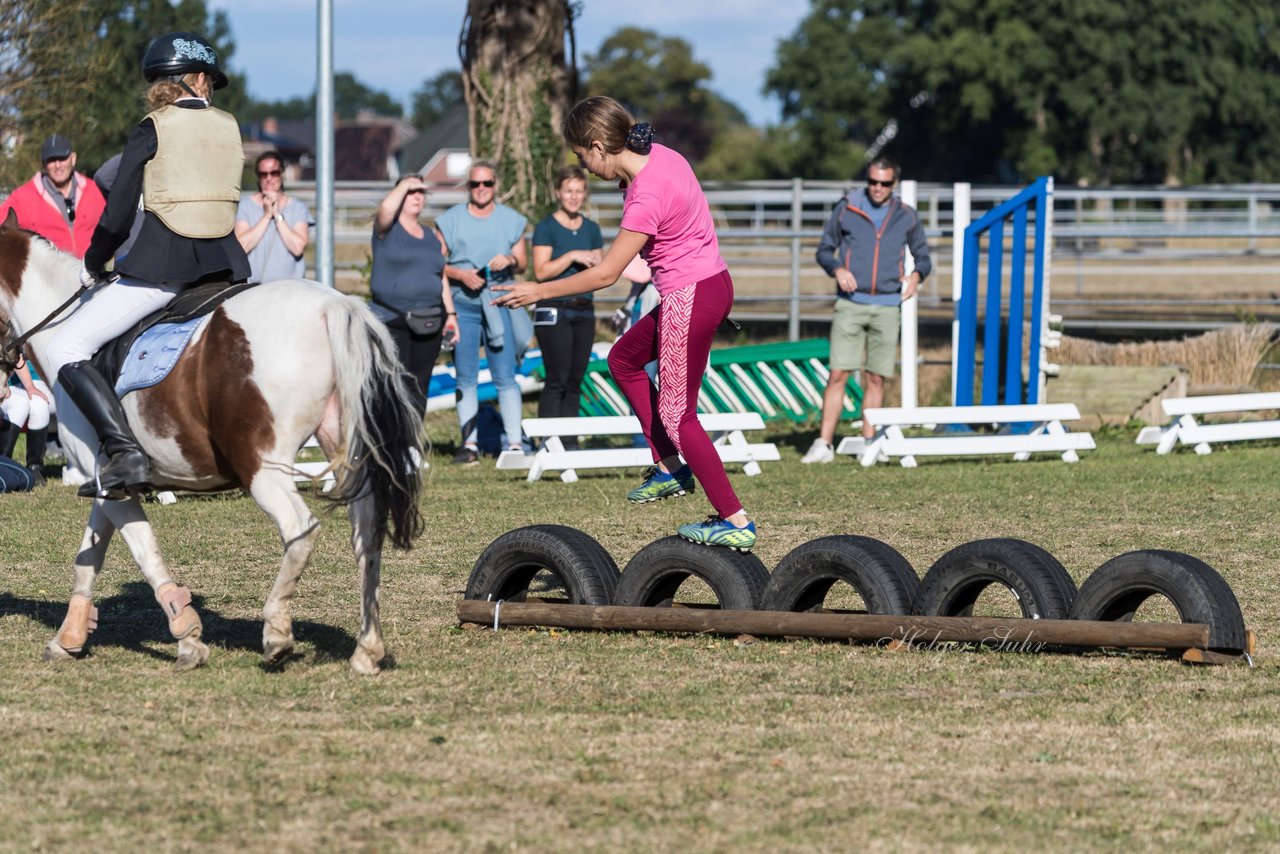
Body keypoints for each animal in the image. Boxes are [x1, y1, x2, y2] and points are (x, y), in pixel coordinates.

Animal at [2, 208, 427, 676]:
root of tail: (333, 303)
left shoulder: (111, 483)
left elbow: (144, 553)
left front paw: (187, 639)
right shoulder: (107, 482)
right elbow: (88, 558)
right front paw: (69, 637)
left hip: (262, 466)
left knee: (300, 530)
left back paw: (276, 634)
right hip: (345, 451)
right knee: (367, 538)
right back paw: (367, 650)